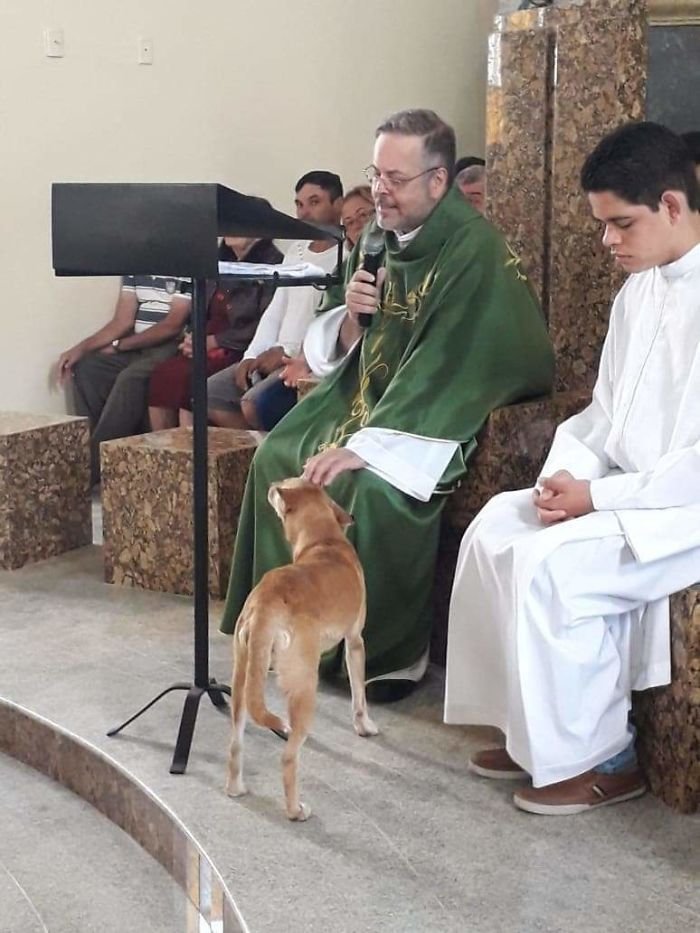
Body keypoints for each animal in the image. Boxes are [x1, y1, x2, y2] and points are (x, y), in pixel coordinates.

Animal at [226, 476, 378, 820]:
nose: (272, 484)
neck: (323, 542)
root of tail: (263, 605)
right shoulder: (355, 642)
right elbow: (359, 695)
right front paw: (364, 726)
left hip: (242, 681)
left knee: (236, 743)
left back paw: (236, 788)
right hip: (305, 686)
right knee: (288, 757)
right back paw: (296, 810)